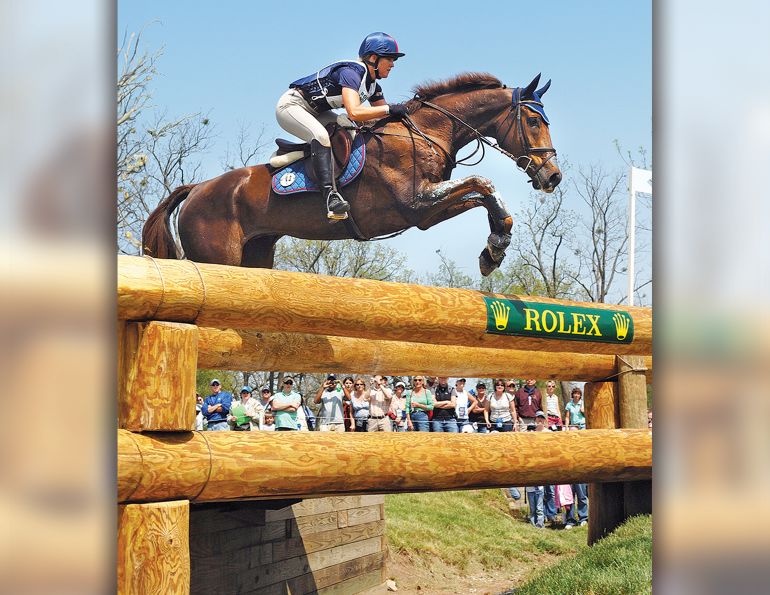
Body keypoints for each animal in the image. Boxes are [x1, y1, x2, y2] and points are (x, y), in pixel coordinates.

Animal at [142, 72, 561, 276]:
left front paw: (494, 249)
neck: (426, 132)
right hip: (218, 258)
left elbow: (481, 194)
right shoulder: (416, 203)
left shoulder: (425, 212)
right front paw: (495, 248)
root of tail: (197, 189)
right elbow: (482, 184)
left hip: (257, 254)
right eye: (533, 121)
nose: (553, 176)